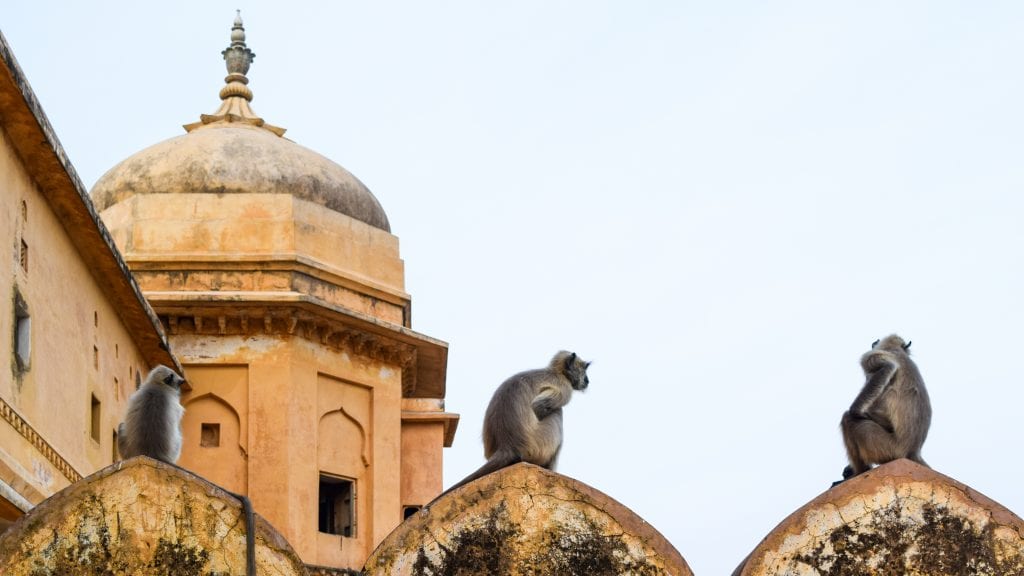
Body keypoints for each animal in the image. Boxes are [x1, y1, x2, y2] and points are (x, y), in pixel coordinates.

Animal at [436, 350, 591, 500]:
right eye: (583, 369)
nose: (587, 381)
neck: (557, 372)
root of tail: (508, 445)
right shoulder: (564, 388)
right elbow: (538, 407)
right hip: (540, 444)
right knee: (557, 411)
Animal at [839, 334, 931, 480]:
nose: (874, 342)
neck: (897, 350)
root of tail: (913, 451)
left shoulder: (873, 355)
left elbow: (888, 367)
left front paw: (856, 411)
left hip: (887, 447)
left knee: (848, 419)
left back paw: (860, 471)